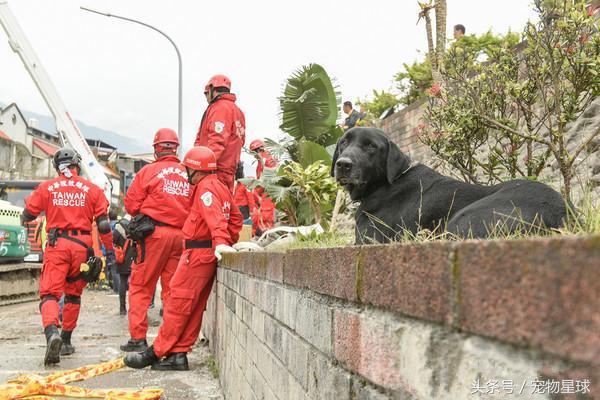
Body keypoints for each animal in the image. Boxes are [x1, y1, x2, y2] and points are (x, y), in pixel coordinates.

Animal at [332, 127, 568, 244]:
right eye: (343, 142)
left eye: (370, 146)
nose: (342, 164)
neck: (389, 181)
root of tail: (564, 214)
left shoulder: (368, 239)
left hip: (461, 220)